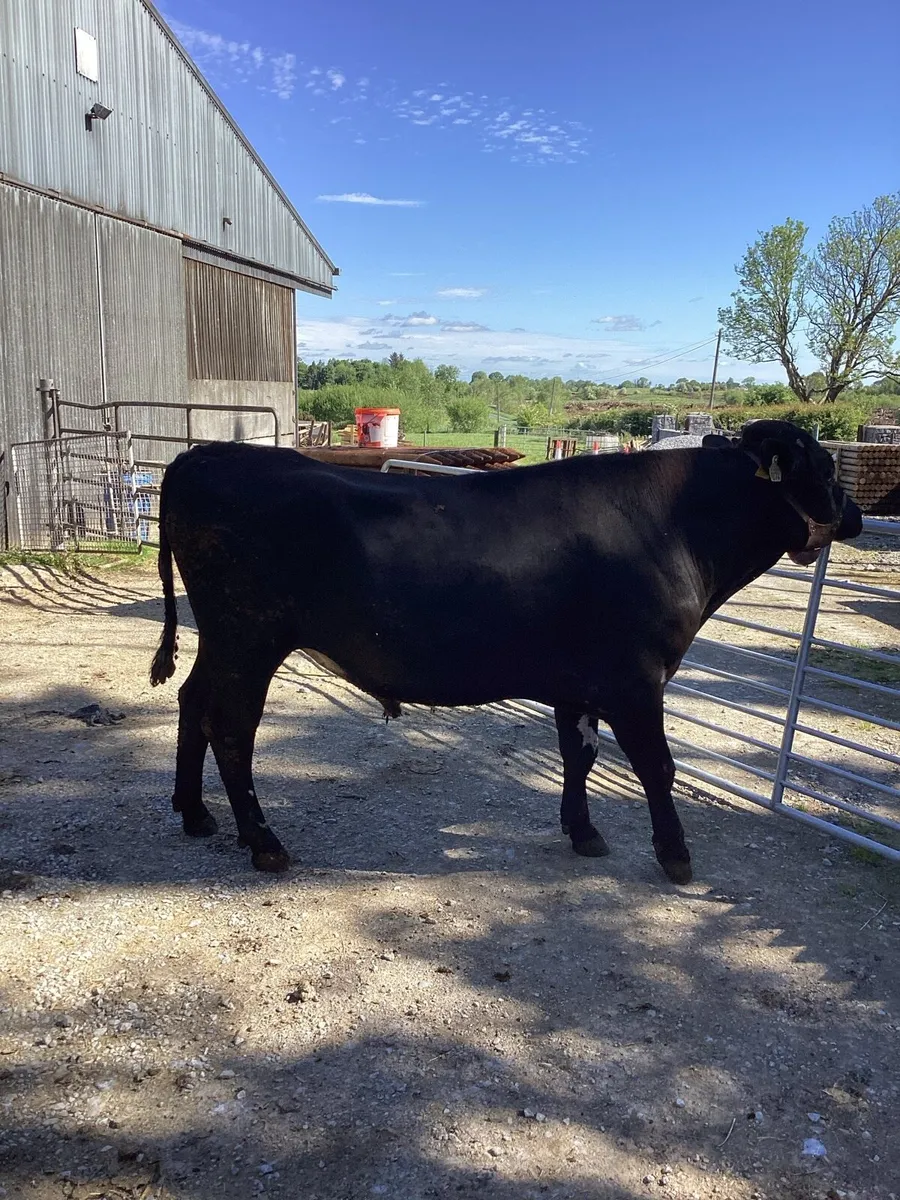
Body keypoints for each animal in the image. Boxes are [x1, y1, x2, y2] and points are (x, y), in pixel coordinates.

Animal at [150, 420, 862, 884]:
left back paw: (195, 814)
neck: (675, 525)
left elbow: (579, 755)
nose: (855, 516)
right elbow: (657, 768)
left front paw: (584, 833)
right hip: (250, 638)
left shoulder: (581, 681)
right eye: (827, 468)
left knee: (192, 702)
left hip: (225, 640)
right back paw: (262, 842)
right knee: (231, 729)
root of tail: (201, 457)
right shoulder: (635, 679)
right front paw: (675, 856)